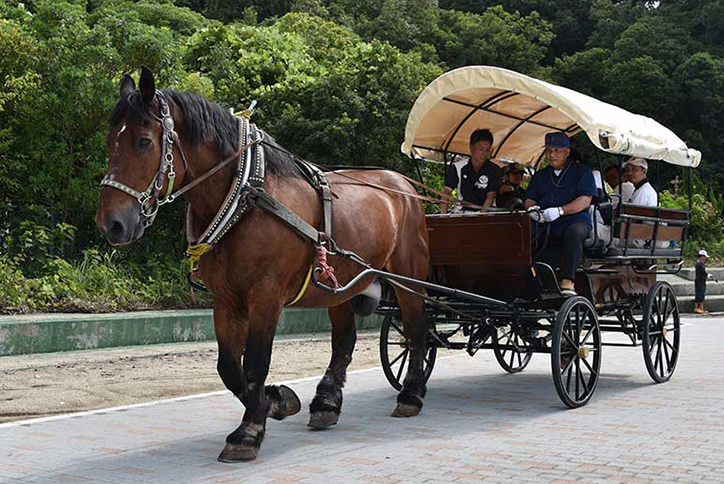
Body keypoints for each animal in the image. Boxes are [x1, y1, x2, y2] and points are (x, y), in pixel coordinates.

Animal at [95, 67, 430, 462]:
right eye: (110, 142)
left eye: (144, 142)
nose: (112, 223)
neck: (246, 199)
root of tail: (402, 184)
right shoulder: (226, 299)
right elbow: (229, 367)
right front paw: (275, 401)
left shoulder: (265, 296)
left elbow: (255, 362)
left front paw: (249, 431)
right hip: (338, 284)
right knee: (344, 340)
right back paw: (326, 402)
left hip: (409, 277)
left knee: (416, 330)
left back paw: (411, 394)